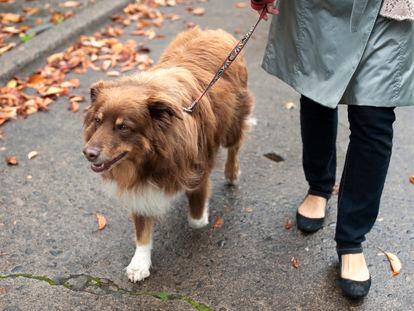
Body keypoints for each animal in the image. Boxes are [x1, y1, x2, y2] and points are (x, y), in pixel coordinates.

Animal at [82, 28, 252, 284]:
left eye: (123, 127)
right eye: (97, 121)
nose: (88, 153)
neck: (151, 158)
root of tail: (214, 32)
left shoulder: (198, 169)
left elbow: (196, 218)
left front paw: (201, 213)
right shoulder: (139, 187)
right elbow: (142, 230)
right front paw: (140, 263)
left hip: (233, 121)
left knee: (235, 146)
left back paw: (232, 173)